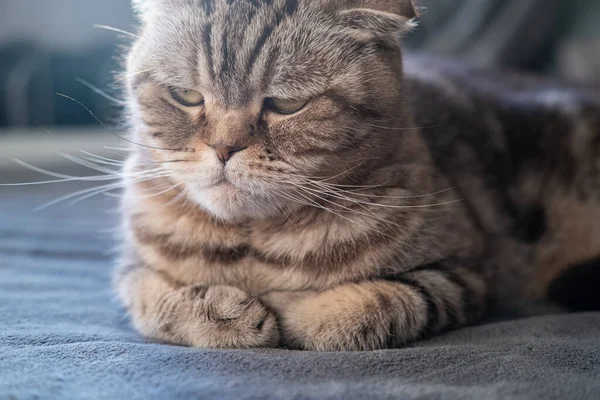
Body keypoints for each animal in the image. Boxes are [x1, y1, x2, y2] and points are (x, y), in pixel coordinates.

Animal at [116, 0, 600, 350]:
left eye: (286, 105)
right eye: (186, 96)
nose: (223, 148)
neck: (254, 245)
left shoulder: (464, 272)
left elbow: (375, 303)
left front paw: (293, 312)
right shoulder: (132, 269)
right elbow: (157, 300)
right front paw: (224, 314)